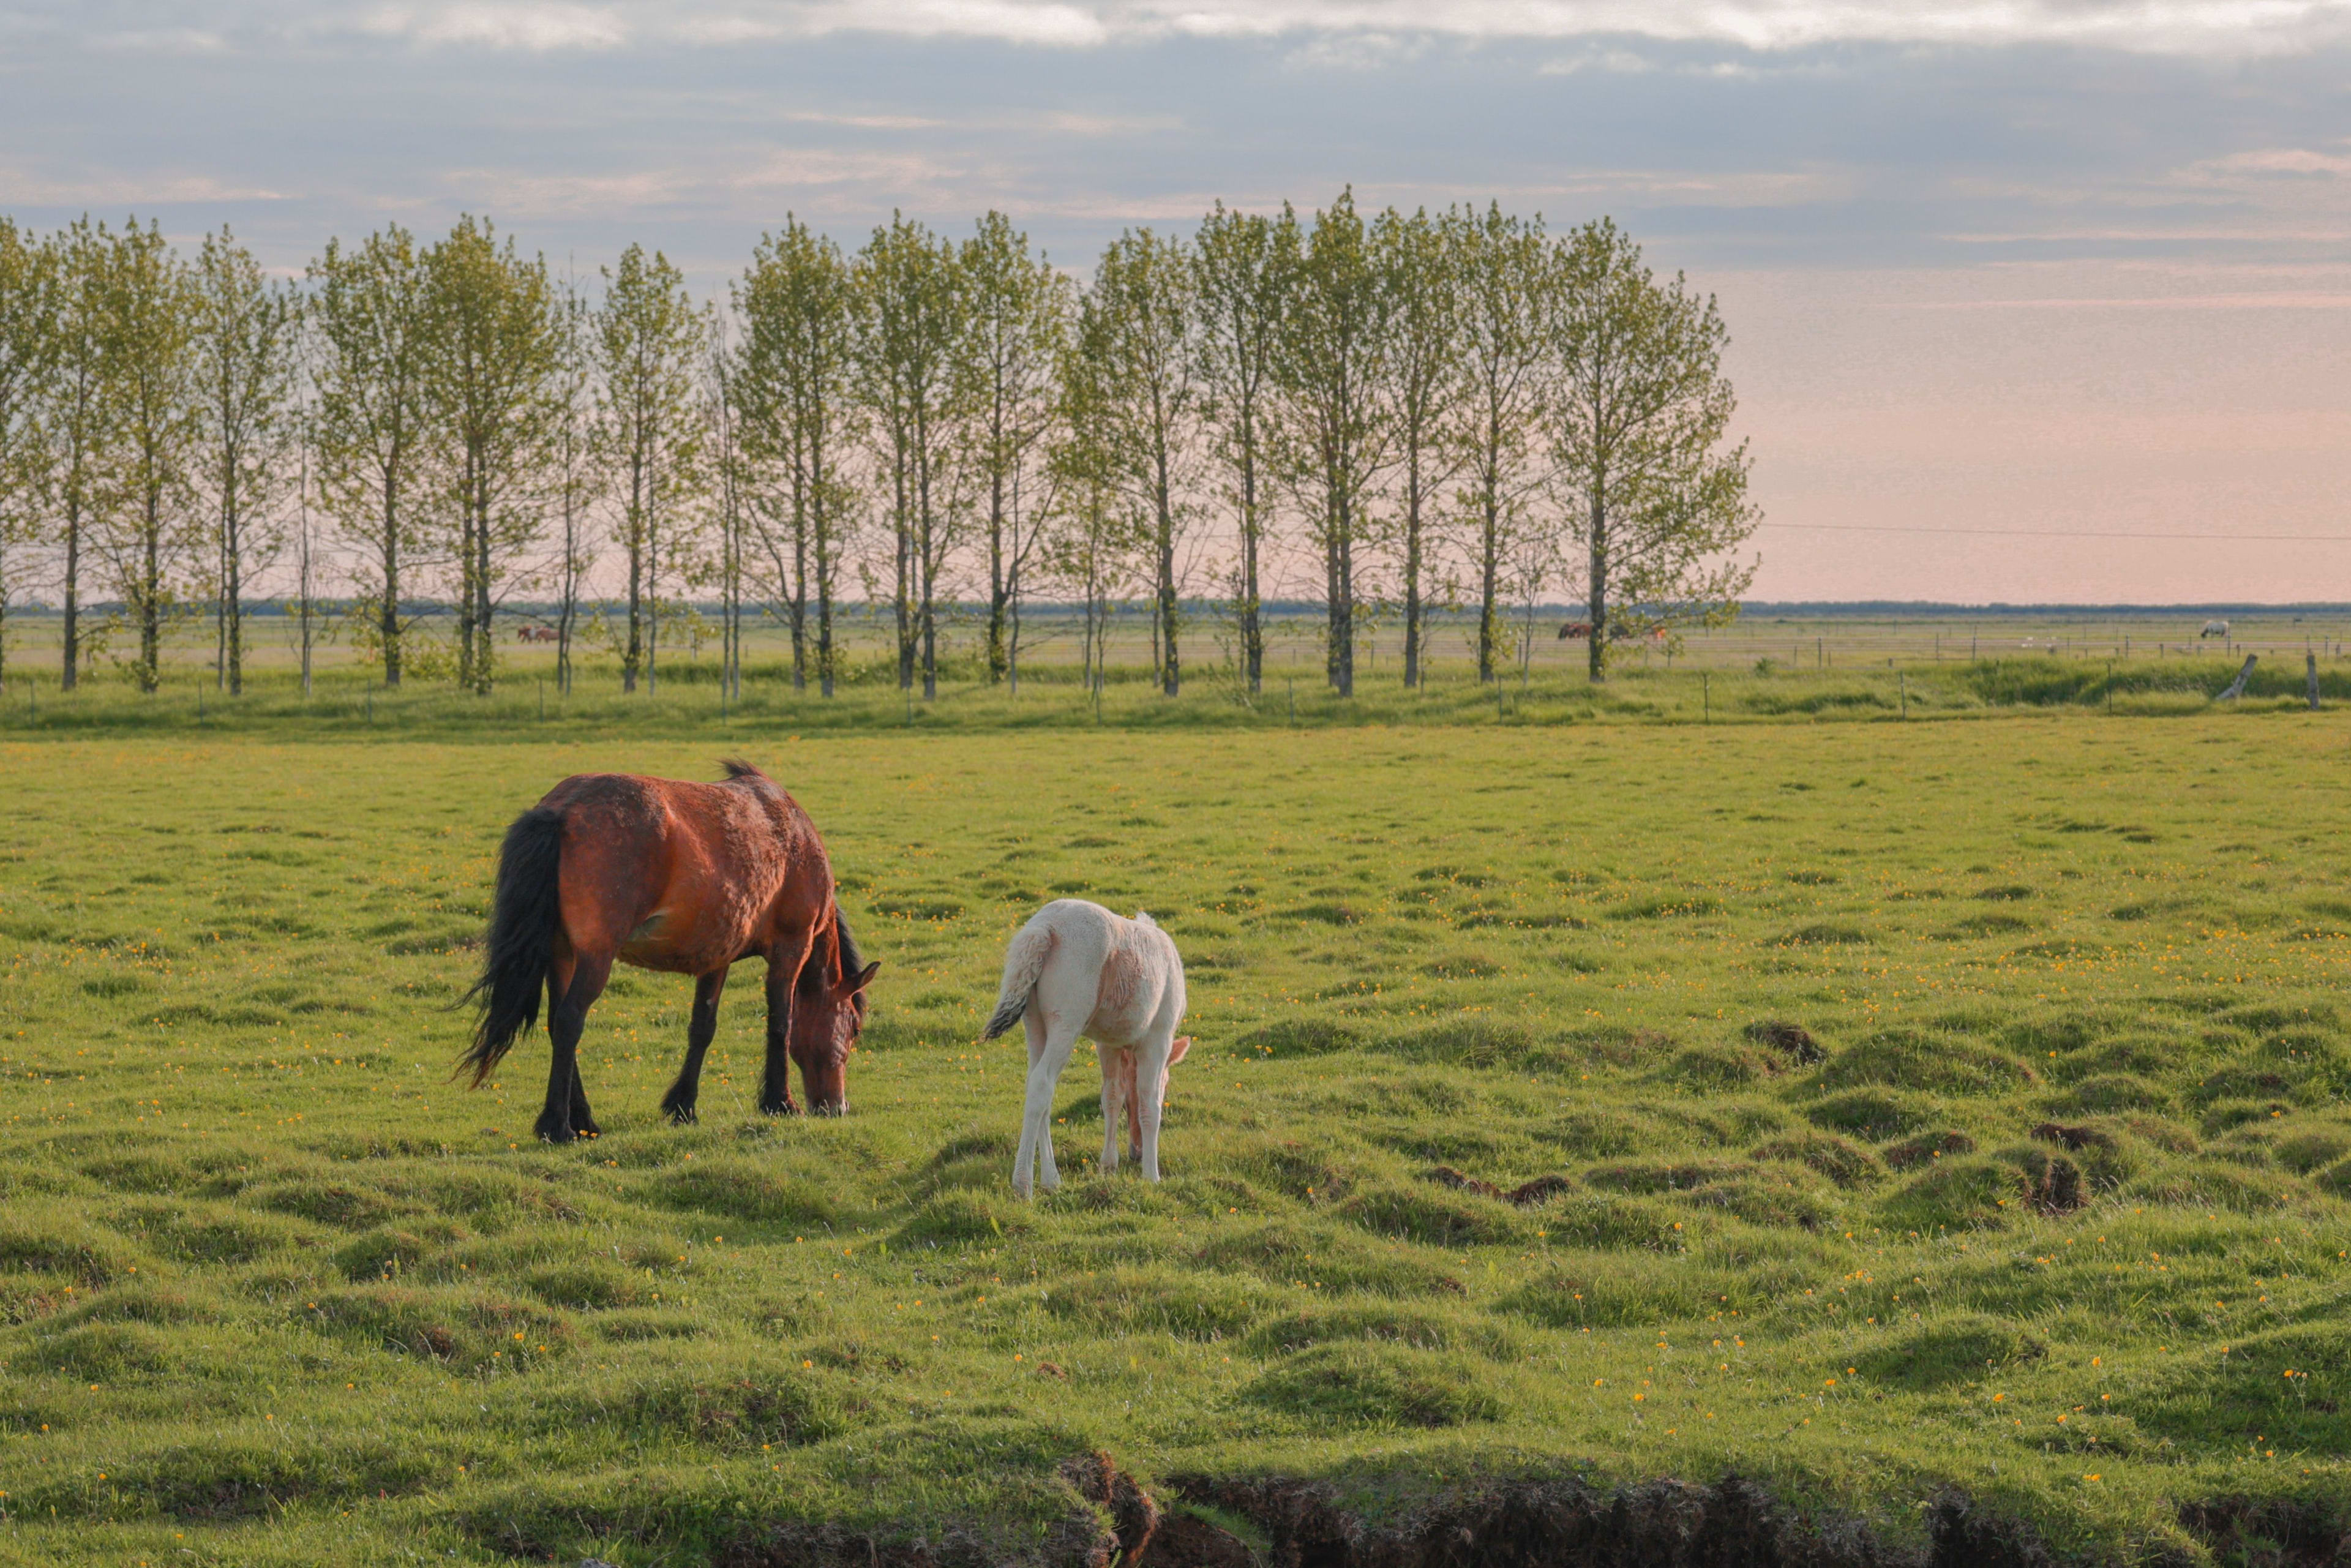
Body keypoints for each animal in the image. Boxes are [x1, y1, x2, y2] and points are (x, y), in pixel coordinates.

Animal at [456, 762, 874, 1142]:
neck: (794, 835)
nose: (837, 1107)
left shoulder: (717, 957)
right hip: (595, 957)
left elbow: (702, 1028)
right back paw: (558, 1127)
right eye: (854, 1028)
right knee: (570, 1020)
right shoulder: (792, 949)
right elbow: (781, 1025)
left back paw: (584, 1120)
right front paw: (780, 1102)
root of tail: (560, 810)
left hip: (563, 955)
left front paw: (684, 1106)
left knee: (556, 1022)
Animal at [978, 893, 1194, 1203]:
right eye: (1167, 1083)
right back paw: (1023, 1184)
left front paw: (1109, 1166)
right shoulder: (1158, 1038)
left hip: (1035, 1024)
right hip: (1067, 1024)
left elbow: (1112, 1096)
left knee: (1038, 1088)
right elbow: (1150, 1104)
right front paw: (1151, 1176)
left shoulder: (1108, 1044)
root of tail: (1044, 928)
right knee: (1042, 1083)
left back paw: (1051, 1180)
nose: (1136, 1153)